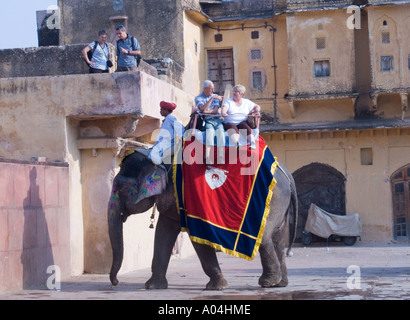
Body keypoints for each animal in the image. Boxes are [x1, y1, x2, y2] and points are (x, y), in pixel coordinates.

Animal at [107, 146, 296, 288]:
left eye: (118, 187)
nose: (115, 283)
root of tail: (288, 175)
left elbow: (197, 238)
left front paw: (217, 287)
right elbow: (163, 232)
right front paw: (152, 286)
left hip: (270, 200)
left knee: (264, 238)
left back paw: (268, 283)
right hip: (280, 204)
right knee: (278, 239)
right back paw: (281, 284)